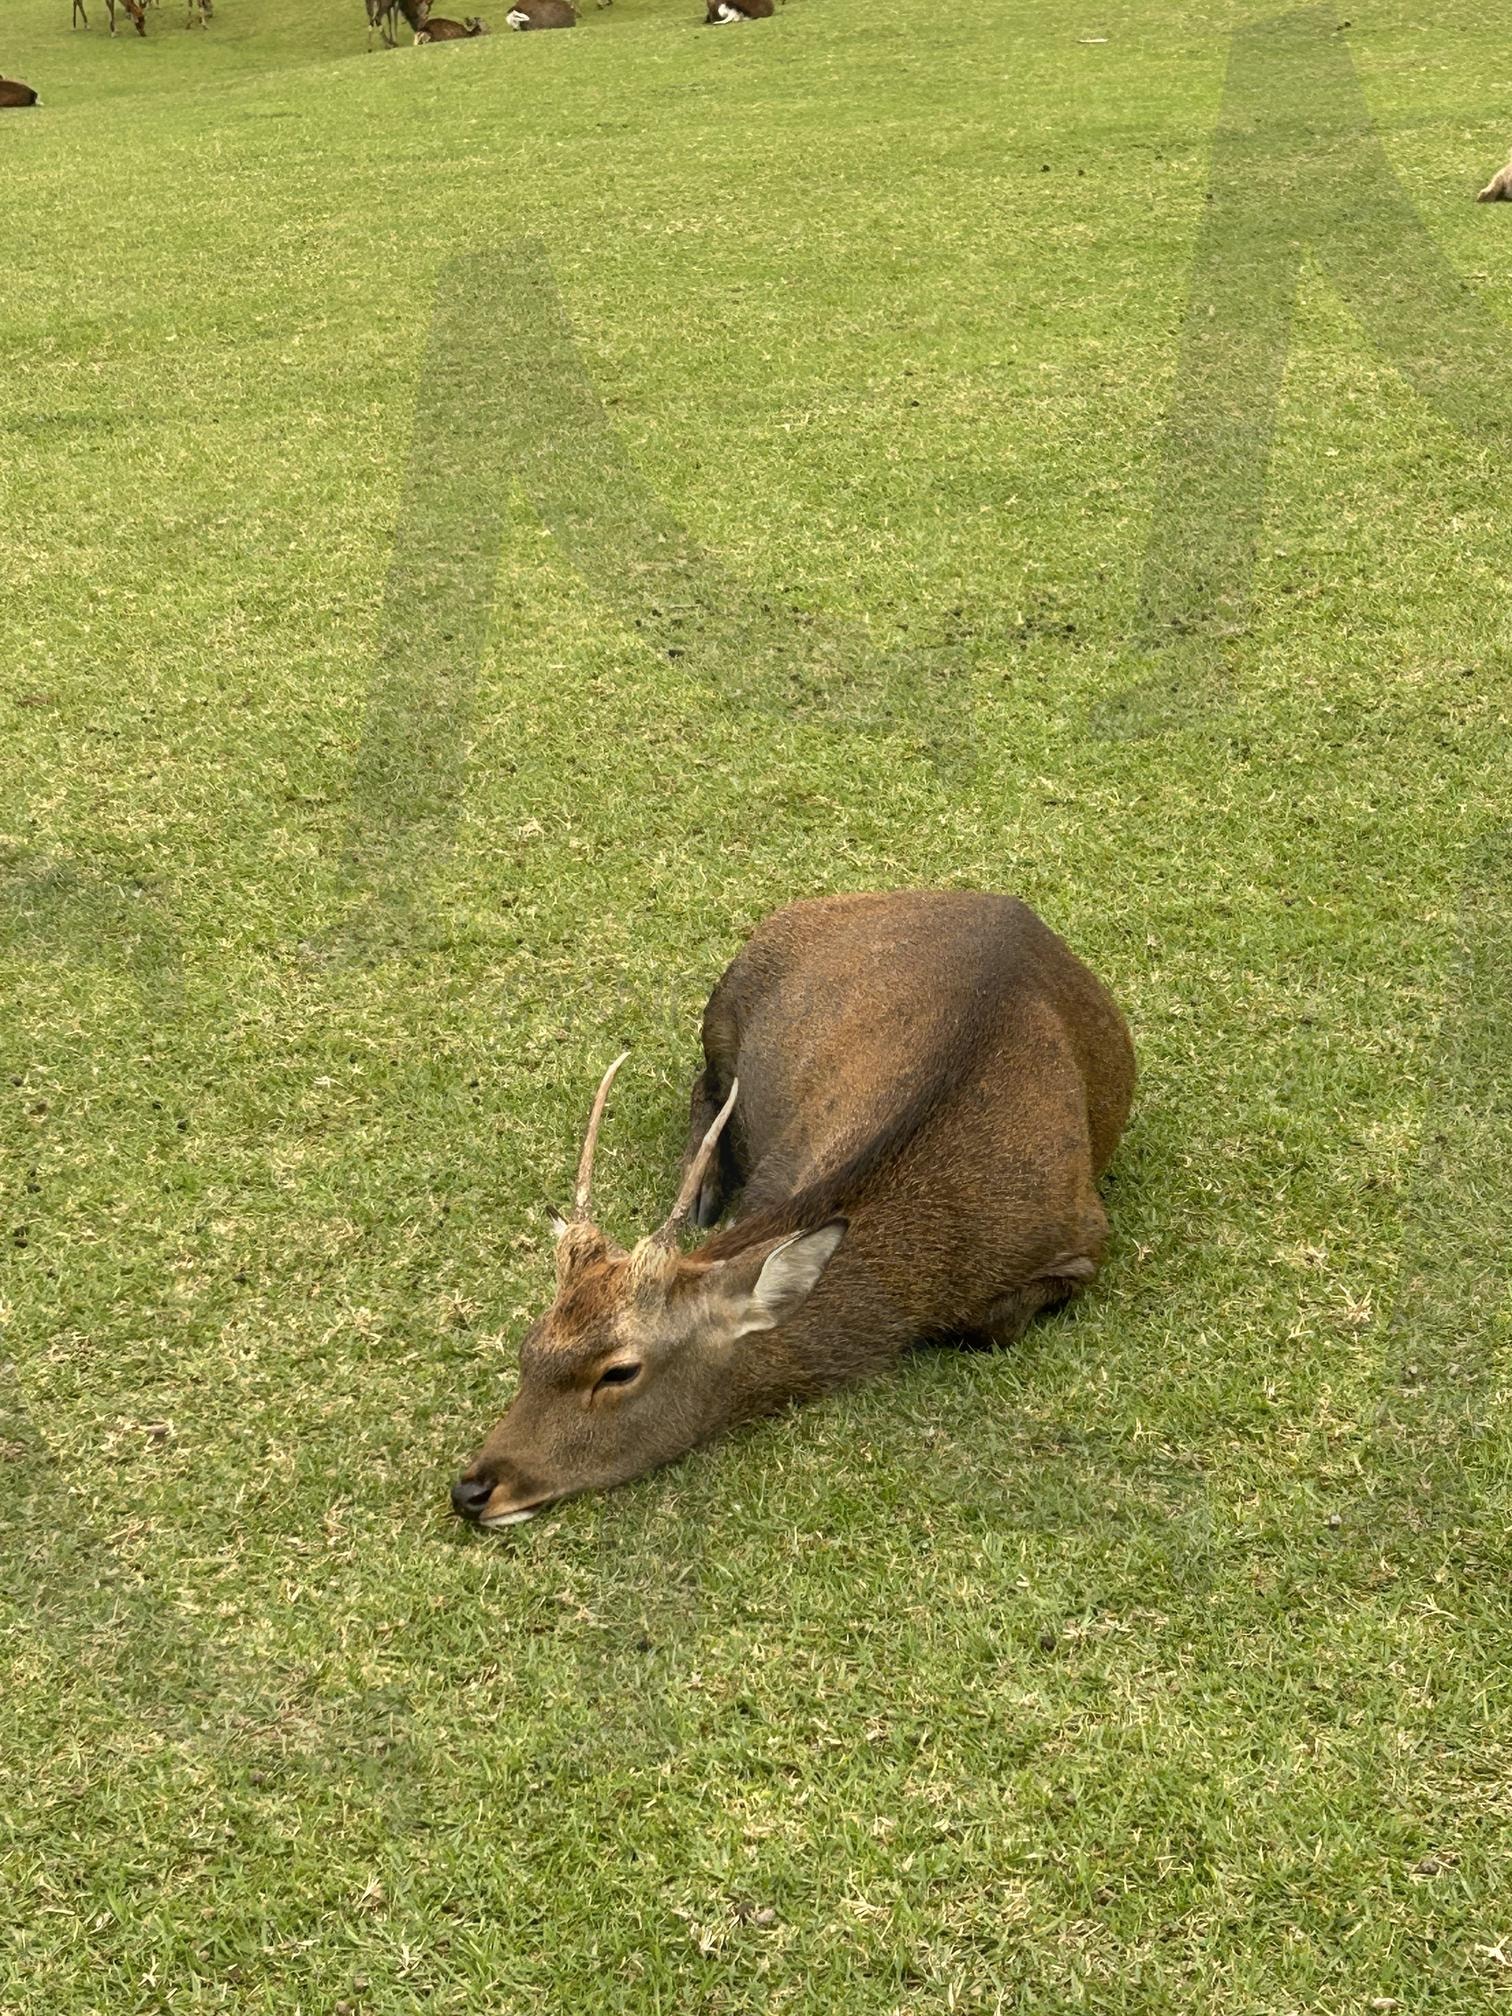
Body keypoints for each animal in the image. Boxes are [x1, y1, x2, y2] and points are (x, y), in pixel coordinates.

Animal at [451, 889, 1136, 1530]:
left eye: (619, 1372)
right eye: (530, 1344)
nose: (474, 1489)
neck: (942, 1259)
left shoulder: (1080, 1241)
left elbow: (988, 1330)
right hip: (726, 1000)